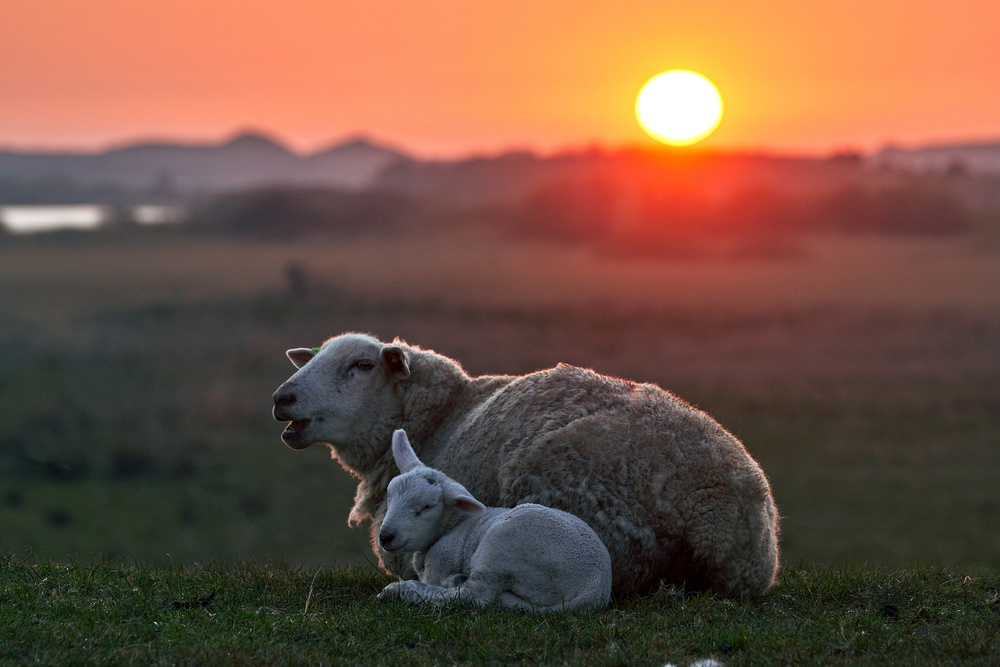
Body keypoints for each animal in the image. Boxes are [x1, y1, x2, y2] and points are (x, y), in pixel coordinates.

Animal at [376, 429, 612, 612]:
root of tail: (593, 588)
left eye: (427, 507)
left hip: (501, 549)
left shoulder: (440, 564)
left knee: (473, 596)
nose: (386, 536)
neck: (451, 527)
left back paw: (399, 590)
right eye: (389, 496)